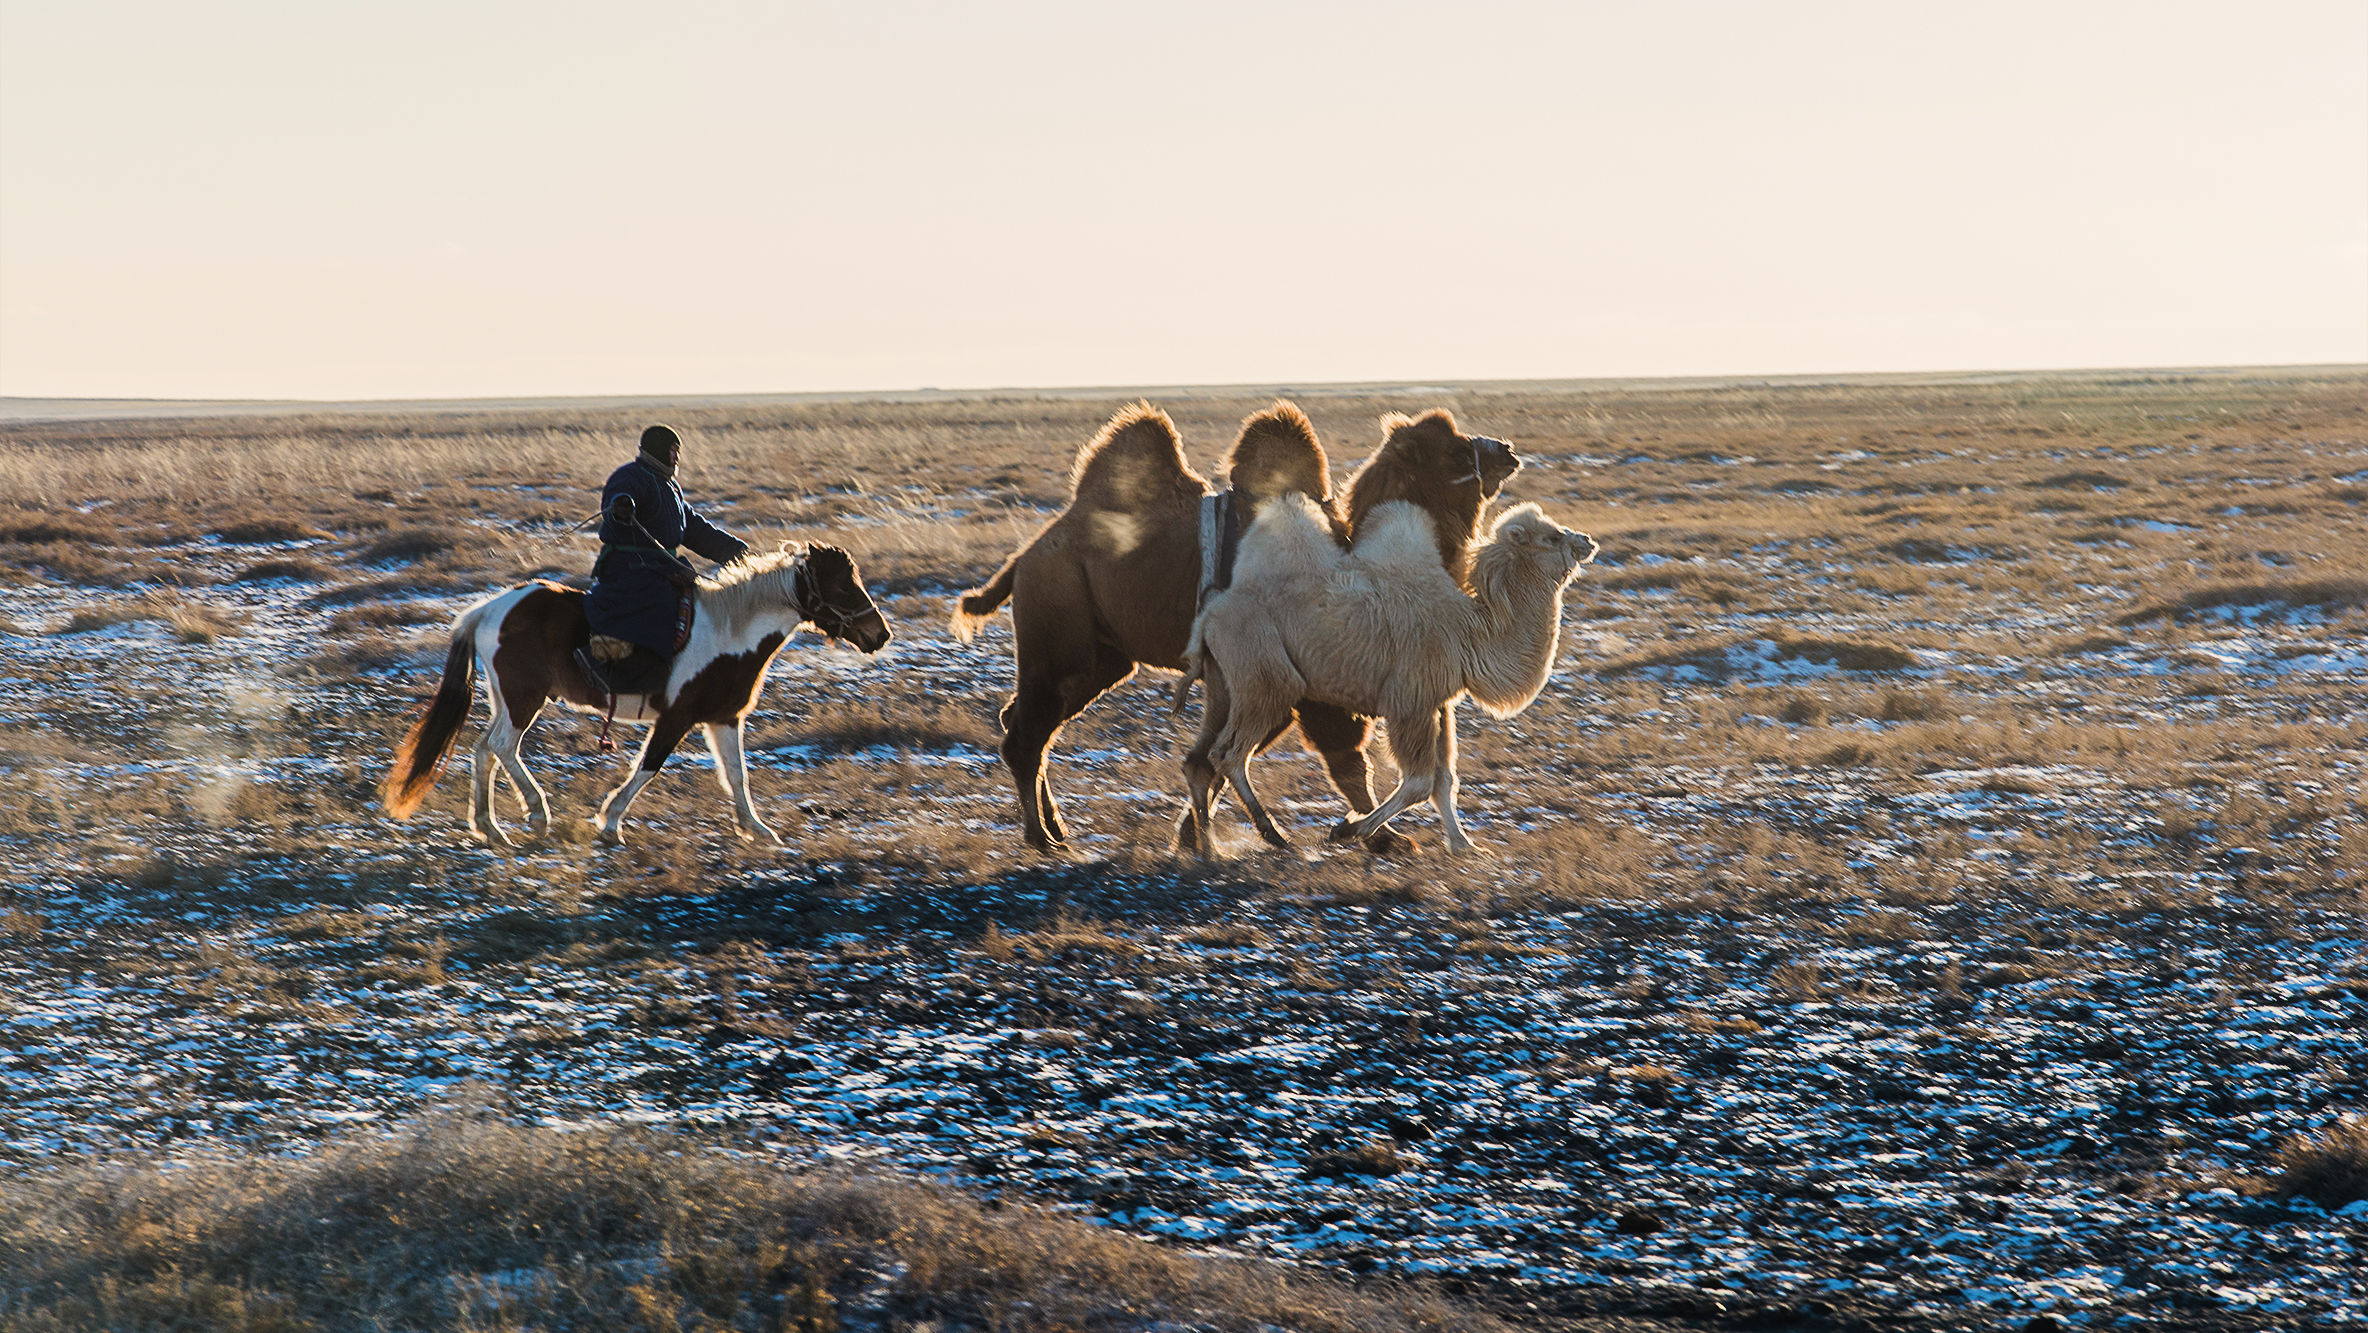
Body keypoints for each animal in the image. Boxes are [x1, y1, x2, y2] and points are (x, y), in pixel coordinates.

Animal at [383, 542, 890, 842]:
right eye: (843, 585)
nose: (880, 634)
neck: (730, 632)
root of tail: (489, 609)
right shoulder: (678, 716)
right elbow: (648, 767)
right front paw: (610, 822)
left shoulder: (723, 716)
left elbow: (737, 775)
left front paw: (758, 830)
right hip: (524, 698)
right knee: (503, 747)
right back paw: (536, 814)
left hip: (507, 699)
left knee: (484, 749)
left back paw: (489, 827)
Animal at [947, 402, 1515, 852]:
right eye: (1457, 451)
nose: (1506, 450)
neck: (1353, 553)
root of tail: (1025, 556)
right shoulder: (1303, 680)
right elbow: (1343, 757)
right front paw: (1383, 838)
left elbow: (1222, 757)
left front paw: (1190, 836)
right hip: (1061, 631)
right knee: (1027, 730)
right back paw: (1042, 837)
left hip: (1104, 656)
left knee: (1029, 719)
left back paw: (1057, 828)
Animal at [1179, 497, 1591, 857]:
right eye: (1553, 537)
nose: (1586, 541)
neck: (1470, 633)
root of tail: (1209, 615)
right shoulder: (1410, 702)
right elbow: (1420, 782)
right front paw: (1349, 829)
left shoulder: (1439, 705)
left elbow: (1445, 781)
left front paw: (1465, 846)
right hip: (1266, 675)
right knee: (1231, 753)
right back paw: (1272, 835)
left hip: (1226, 683)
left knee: (1203, 757)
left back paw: (1208, 848)